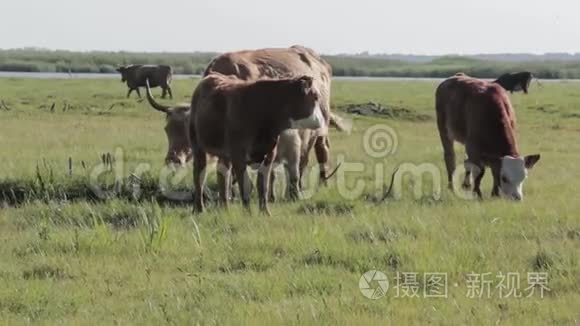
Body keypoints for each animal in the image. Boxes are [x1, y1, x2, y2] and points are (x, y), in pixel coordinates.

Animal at [190, 73, 326, 214]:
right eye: (316, 96)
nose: (323, 120)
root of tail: (211, 76)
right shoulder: (238, 155)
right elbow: (246, 185)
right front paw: (248, 213)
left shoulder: (269, 155)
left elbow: (263, 185)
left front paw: (265, 212)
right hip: (197, 145)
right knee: (199, 175)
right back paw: (199, 208)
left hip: (225, 154)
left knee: (223, 174)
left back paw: (225, 208)